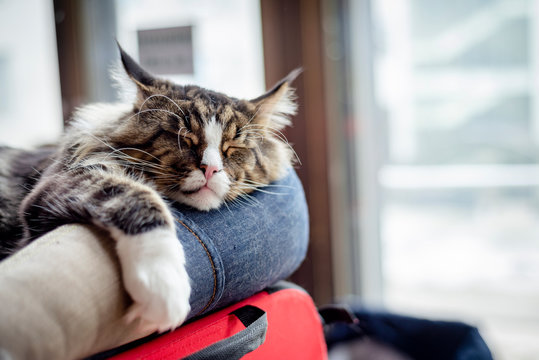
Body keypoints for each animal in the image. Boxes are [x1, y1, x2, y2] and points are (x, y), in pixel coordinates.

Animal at [0, 44, 300, 332]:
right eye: (183, 138)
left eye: (233, 148)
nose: (211, 169)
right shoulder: (66, 179)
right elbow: (140, 198)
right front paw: (164, 287)